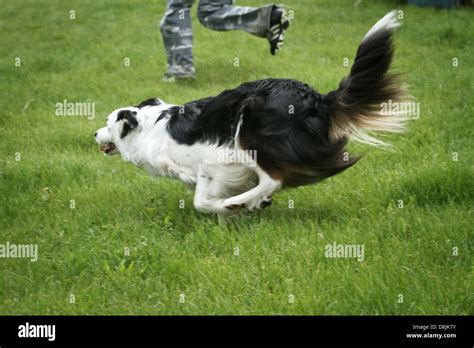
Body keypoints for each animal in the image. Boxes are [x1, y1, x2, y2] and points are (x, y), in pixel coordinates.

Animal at [95, 11, 408, 215]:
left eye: (108, 124)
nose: (94, 133)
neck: (149, 127)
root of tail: (317, 98)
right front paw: (249, 207)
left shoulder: (215, 160)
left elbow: (202, 200)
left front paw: (227, 207)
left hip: (249, 132)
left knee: (273, 178)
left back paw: (242, 201)